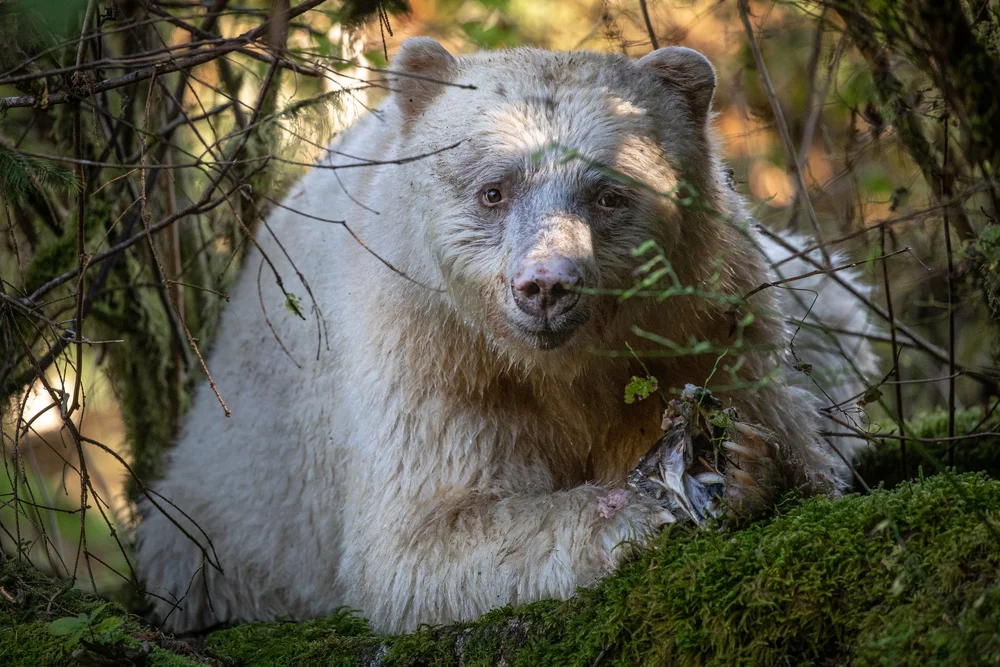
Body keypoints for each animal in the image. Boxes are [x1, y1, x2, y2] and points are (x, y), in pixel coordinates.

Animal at [134, 38, 877, 634]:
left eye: (608, 194)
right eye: (494, 189)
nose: (546, 286)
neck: (564, 368)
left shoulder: (702, 317)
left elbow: (791, 435)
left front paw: (745, 459)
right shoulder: (429, 346)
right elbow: (422, 540)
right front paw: (638, 506)